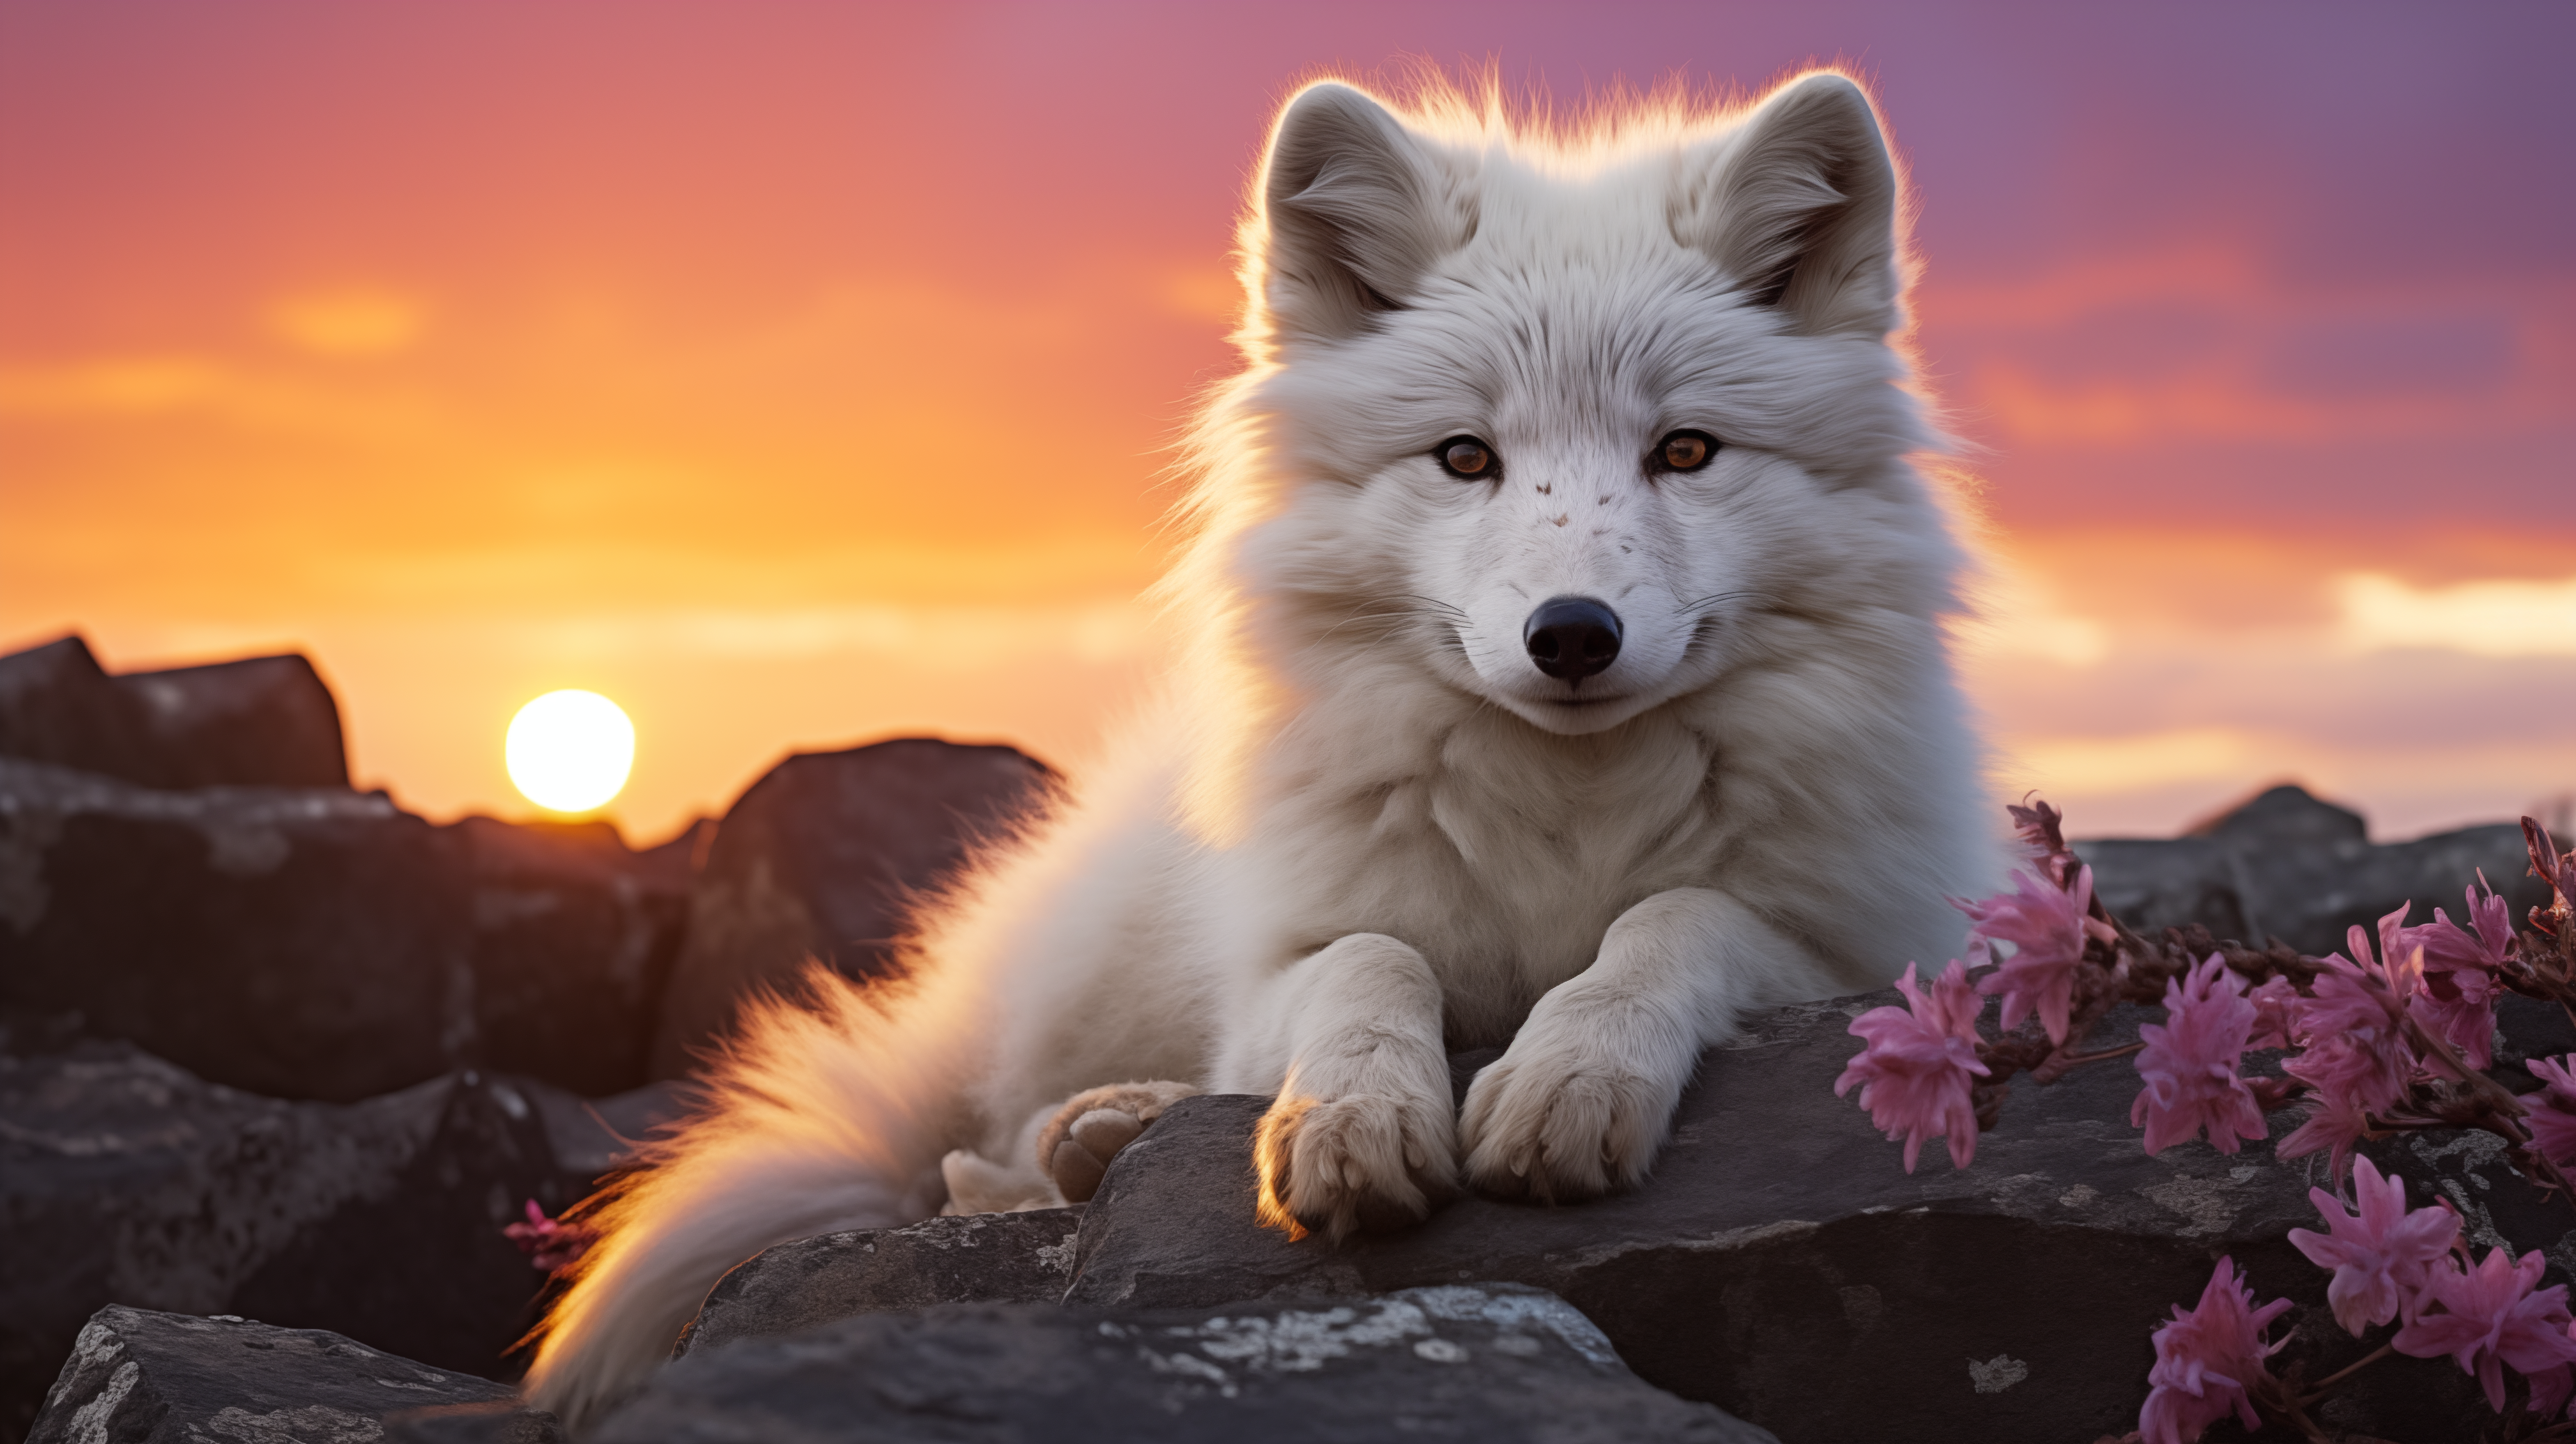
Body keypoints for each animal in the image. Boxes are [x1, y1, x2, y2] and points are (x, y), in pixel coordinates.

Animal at [525, 67, 1998, 1425]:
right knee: (975, 1154)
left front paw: (1568, 1075)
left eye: (1685, 451)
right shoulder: (1291, 950)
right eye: (1465, 458)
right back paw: (1094, 1132)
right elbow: (1370, 958)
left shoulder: (1866, 957)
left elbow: (1674, 918)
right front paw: (1352, 1117)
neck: (1564, 813)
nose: (1571, 636)